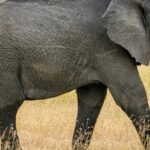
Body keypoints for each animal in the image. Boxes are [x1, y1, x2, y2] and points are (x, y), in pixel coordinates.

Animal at [0, 0, 150, 149]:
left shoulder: (96, 55)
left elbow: (92, 100)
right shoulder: (110, 50)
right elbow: (132, 98)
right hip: (6, 64)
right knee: (8, 106)